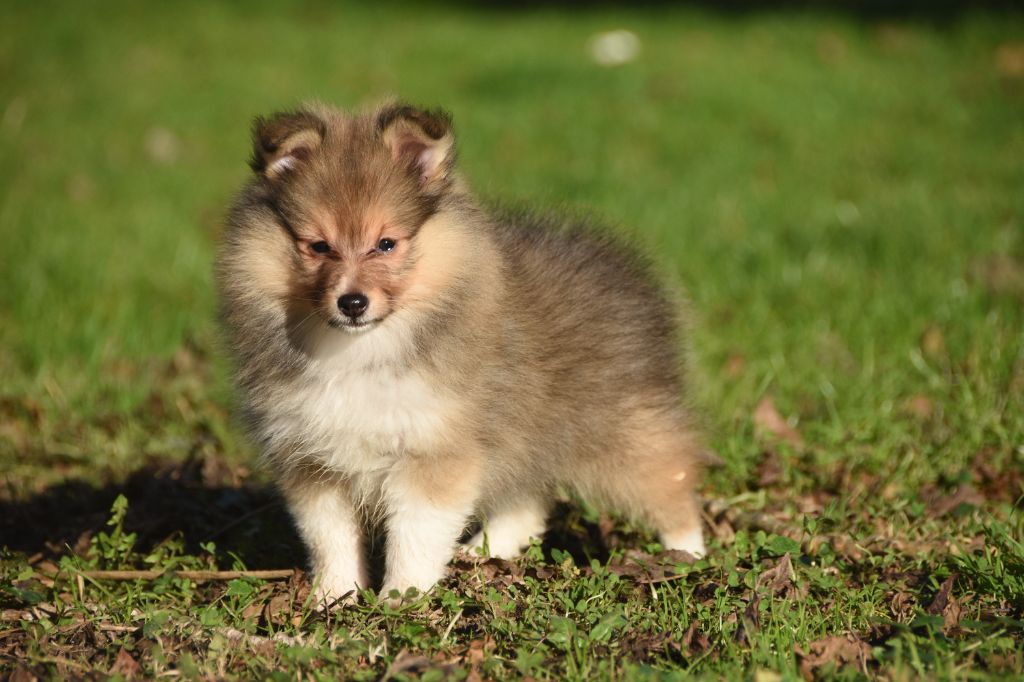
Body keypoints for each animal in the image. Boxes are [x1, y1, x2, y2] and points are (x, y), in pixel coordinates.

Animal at [216, 99, 704, 602]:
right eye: (317, 246)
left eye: (385, 244)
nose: (352, 303)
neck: (360, 349)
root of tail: (630, 271)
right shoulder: (312, 462)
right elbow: (329, 538)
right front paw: (333, 598)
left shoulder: (435, 450)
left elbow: (414, 536)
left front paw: (401, 598)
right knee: (527, 503)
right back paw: (480, 553)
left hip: (623, 433)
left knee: (671, 481)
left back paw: (688, 557)